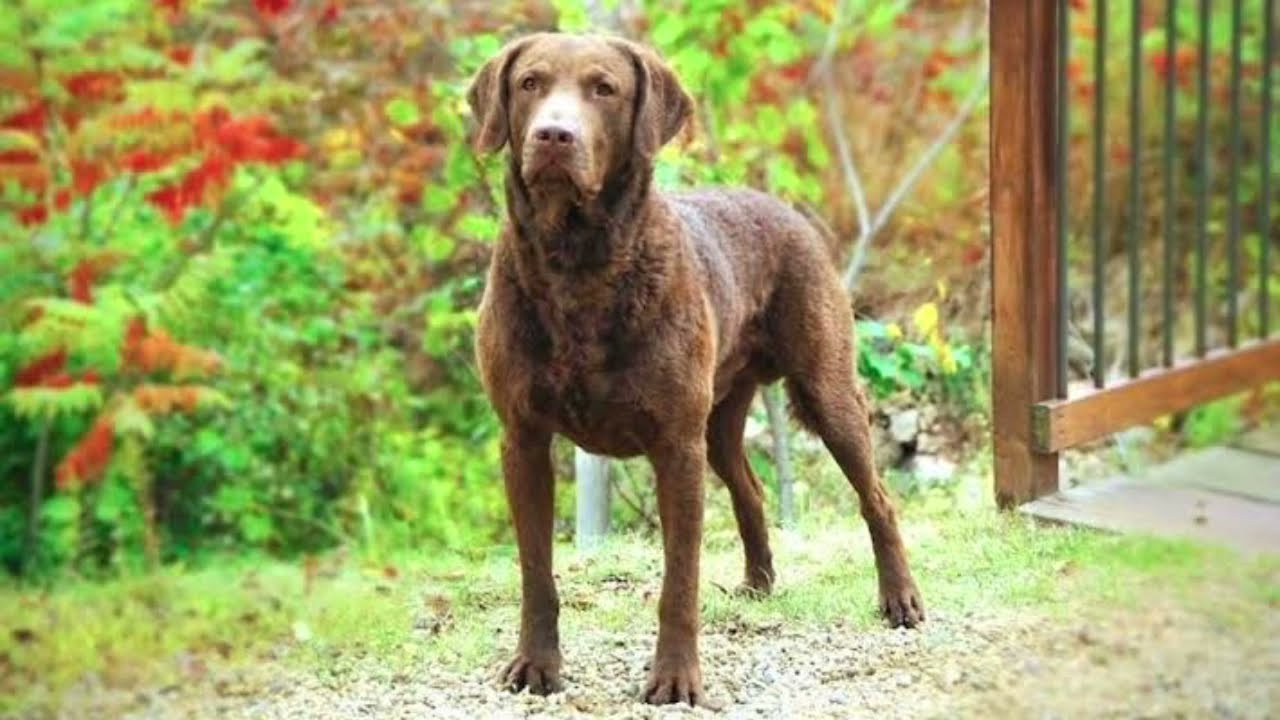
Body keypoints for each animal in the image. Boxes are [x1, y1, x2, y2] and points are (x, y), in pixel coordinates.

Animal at [468, 32, 921, 702]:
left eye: (604, 88)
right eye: (530, 83)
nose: (553, 135)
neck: (578, 267)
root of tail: (788, 212)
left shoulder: (675, 445)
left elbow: (679, 581)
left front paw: (676, 678)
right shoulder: (521, 438)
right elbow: (535, 572)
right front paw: (535, 666)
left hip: (825, 390)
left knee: (878, 498)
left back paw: (900, 600)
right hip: (719, 420)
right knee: (751, 489)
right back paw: (759, 585)